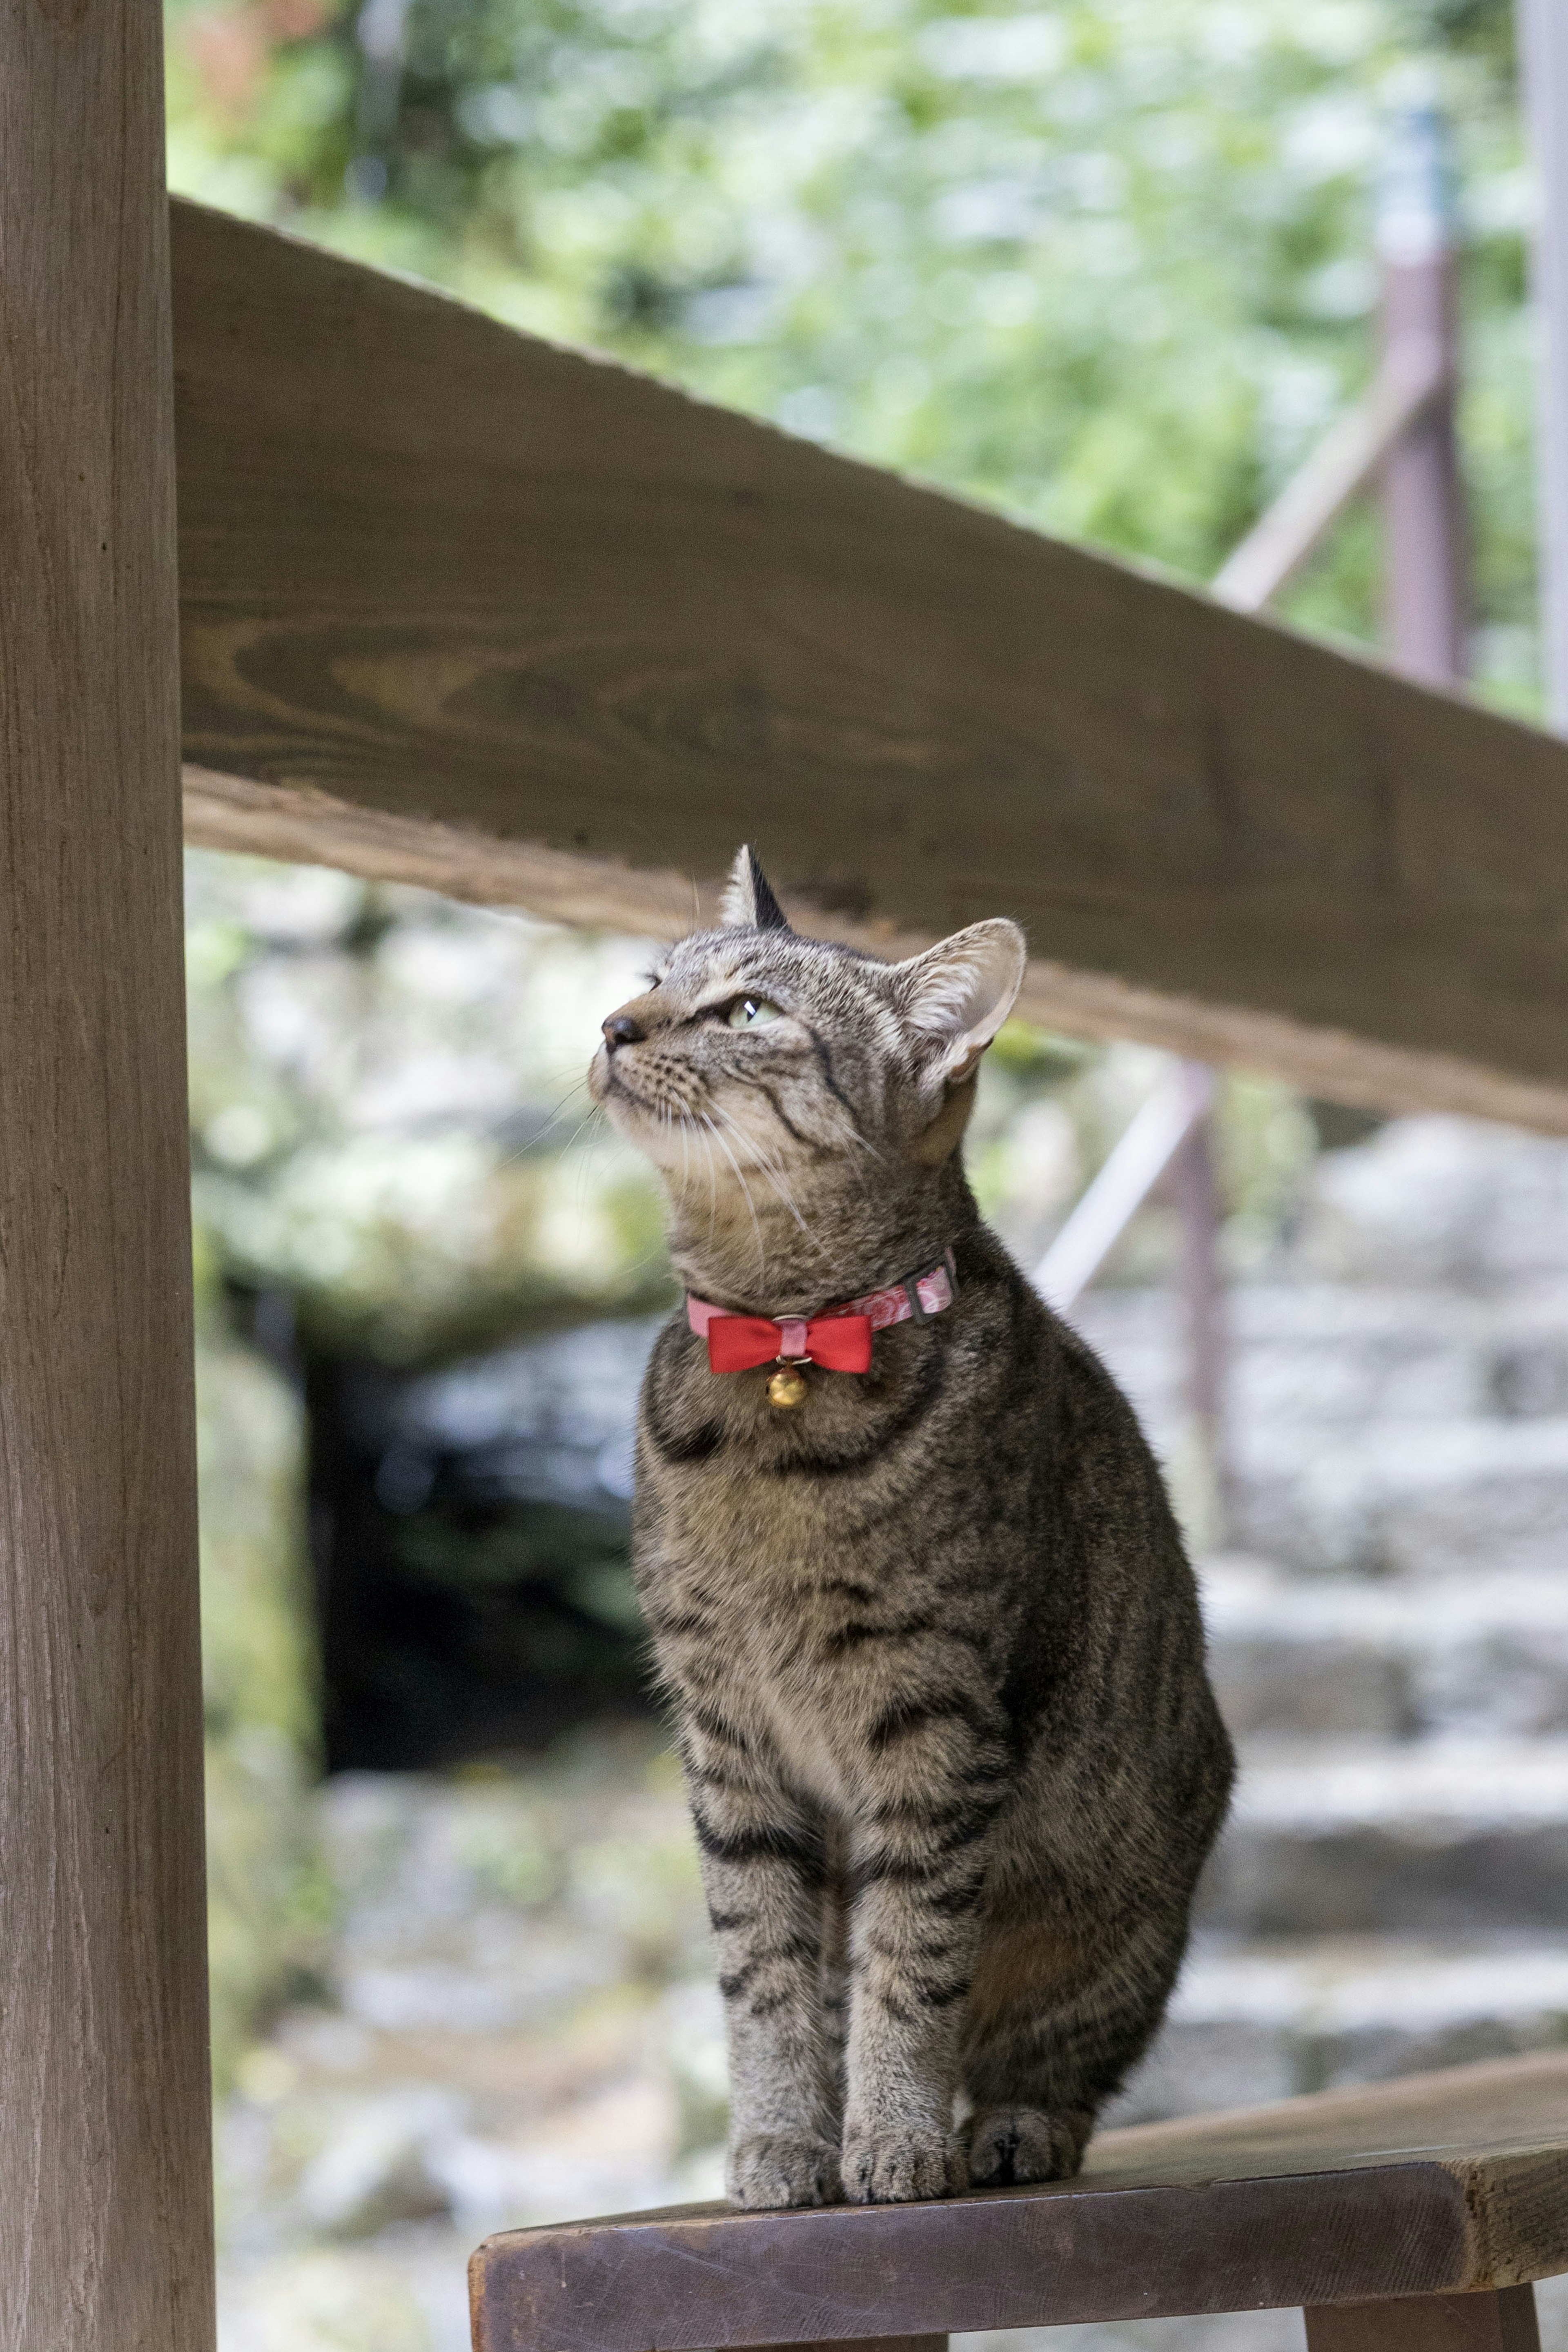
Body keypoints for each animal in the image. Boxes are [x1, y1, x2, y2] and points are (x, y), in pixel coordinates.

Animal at [588, 846, 1241, 2201]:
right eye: (650, 981)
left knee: (1056, 2058)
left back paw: (1007, 2127)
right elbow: (765, 1972)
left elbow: (909, 1961)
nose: (613, 1026)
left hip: (1114, 1907)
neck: (782, 1356)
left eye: (747, 1012)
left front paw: (889, 2135)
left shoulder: (933, 1725)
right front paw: (785, 2141)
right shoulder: (727, 1737)